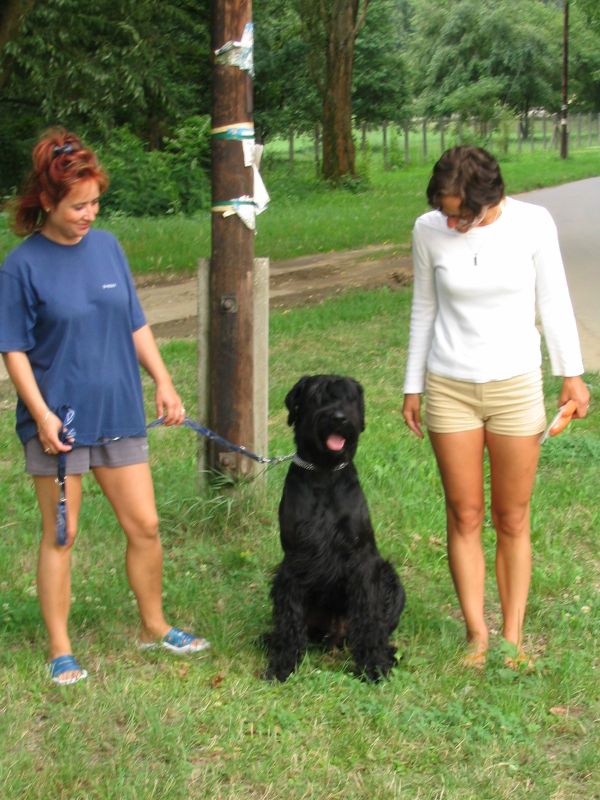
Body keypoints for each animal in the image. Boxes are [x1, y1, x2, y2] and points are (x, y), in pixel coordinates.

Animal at [264, 374, 405, 682]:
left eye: (349, 398)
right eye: (317, 396)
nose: (339, 418)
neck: (324, 474)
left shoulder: (363, 559)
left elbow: (369, 617)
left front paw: (373, 664)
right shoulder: (294, 562)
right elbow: (289, 617)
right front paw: (283, 662)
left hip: (391, 580)